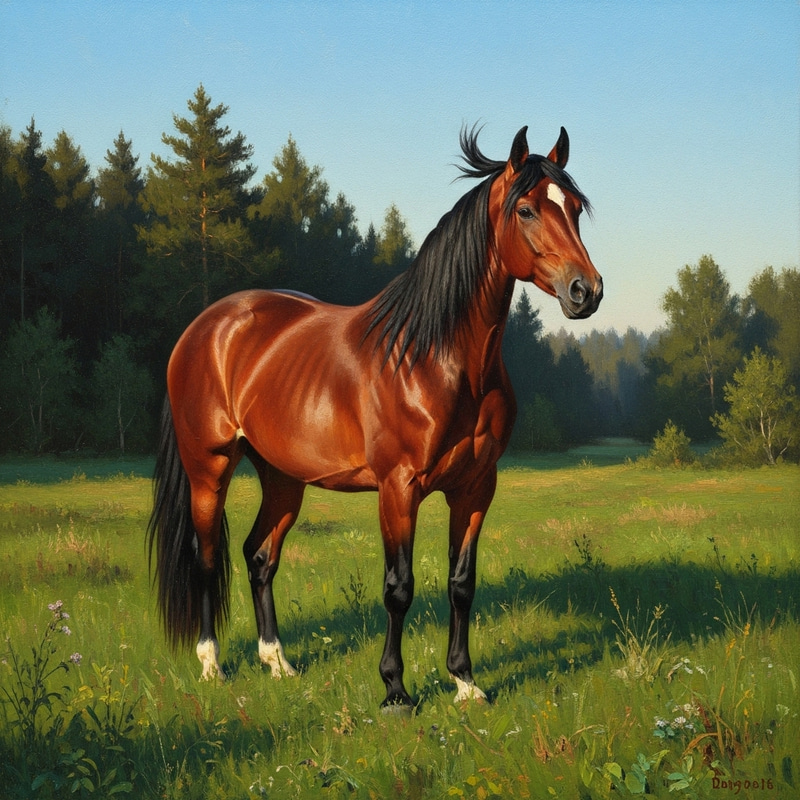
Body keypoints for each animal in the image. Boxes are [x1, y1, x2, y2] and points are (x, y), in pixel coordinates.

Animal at [147, 125, 603, 709]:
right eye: (525, 209)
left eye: (574, 207)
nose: (585, 291)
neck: (436, 357)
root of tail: (202, 329)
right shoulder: (398, 488)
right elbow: (399, 587)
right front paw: (395, 691)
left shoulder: (476, 488)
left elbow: (461, 584)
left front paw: (465, 681)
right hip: (210, 468)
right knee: (208, 558)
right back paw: (211, 665)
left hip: (283, 478)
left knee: (258, 556)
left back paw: (278, 663)